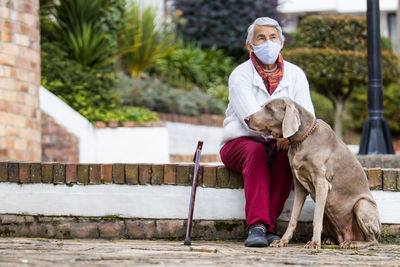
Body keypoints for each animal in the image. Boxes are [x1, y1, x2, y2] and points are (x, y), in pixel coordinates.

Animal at [244, 97, 382, 250]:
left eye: (268, 108)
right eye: (262, 106)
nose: (246, 119)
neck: (301, 141)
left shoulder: (322, 183)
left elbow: (316, 218)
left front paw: (315, 242)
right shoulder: (299, 185)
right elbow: (293, 217)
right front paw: (283, 240)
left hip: (362, 205)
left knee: (373, 240)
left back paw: (352, 243)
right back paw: (330, 240)